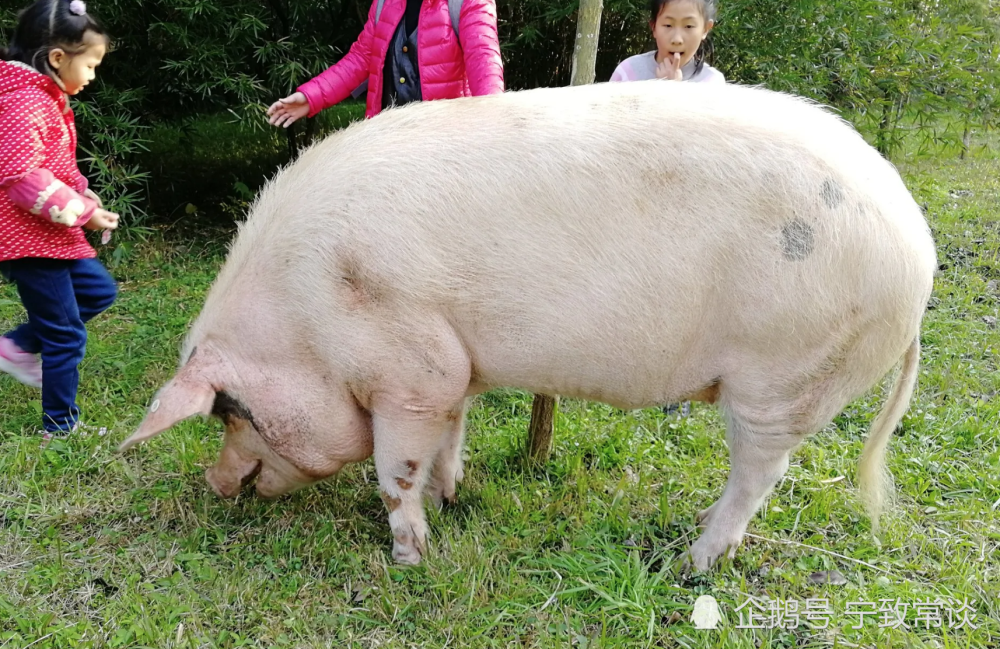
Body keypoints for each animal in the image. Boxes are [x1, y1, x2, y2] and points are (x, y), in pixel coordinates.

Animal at [119, 79, 936, 568]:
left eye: (228, 410)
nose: (215, 483)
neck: (303, 320)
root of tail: (919, 254)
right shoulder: (450, 368)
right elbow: (449, 437)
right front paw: (452, 498)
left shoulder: (408, 368)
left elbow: (393, 469)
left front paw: (409, 556)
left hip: (783, 373)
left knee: (761, 473)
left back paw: (692, 560)